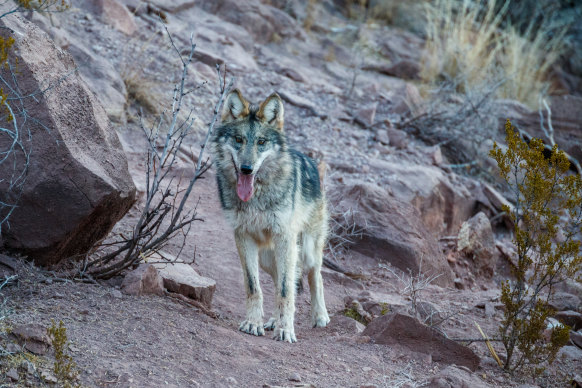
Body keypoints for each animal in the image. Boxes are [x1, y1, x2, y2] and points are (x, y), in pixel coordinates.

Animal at [211, 88, 330, 342]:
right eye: (238, 140)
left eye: (261, 142)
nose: (246, 169)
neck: (256, 197)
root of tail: (314, 164)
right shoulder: (243, 236)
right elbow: (254, 287)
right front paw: (253, 323)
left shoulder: (285, 238)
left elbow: (286, 291)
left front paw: (286, 330)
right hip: (269, 258)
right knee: (281, 280)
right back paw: (274, 321)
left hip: (304, 249)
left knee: (314, 276)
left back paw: (320, 316)